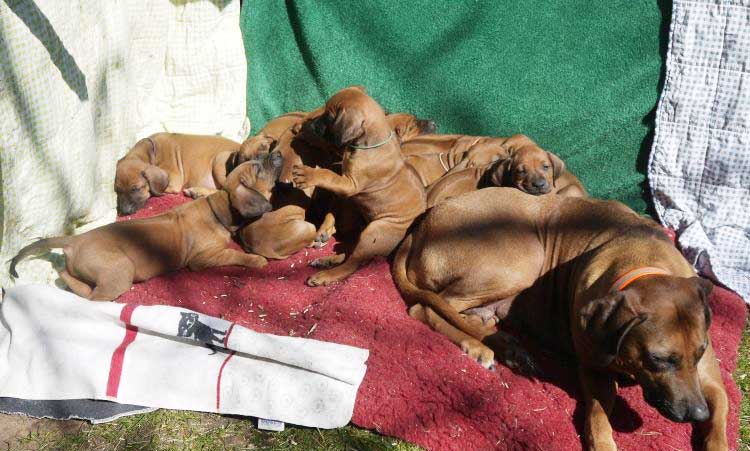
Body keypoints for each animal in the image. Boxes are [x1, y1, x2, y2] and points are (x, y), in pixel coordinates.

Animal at [11, 157, 280, 302]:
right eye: (258, 169)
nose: (277, 154)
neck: (218, 208)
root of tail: (74, 241)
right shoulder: (203, 258)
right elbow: (234, 254)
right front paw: (256, 260)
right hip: (121, 270)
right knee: (91, 296)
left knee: (65, 276)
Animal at [290, 86, 426, 288]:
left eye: (329, 117)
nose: (312, 124)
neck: (370, 145)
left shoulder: (350, 184)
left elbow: (328, 175)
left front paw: (308, 174)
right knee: (351, 255)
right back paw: (327, 261)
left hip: (374, 231)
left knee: (353, 263)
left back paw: (325, 275)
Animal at [394, 187, 728, 451]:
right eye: (658, 359)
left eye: (700, 352)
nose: (697, 414)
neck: (643, 261)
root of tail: (420, 226)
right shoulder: (594, 371)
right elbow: (598, 417)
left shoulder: (710, 383)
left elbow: (720, 419)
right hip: (522, 260)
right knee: (426, 306)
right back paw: (482, 346)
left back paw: (504, 345)